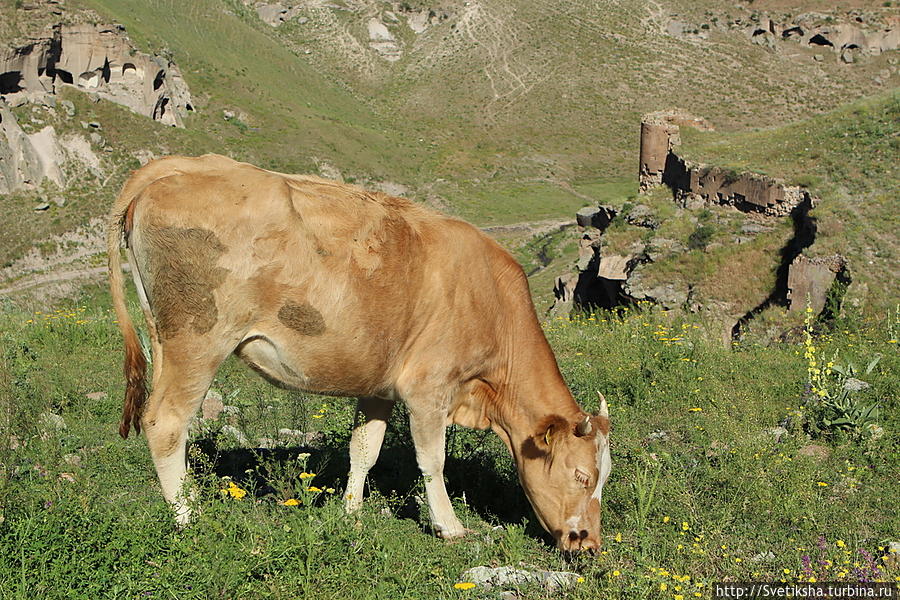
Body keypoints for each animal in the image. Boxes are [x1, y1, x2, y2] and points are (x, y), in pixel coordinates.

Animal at [105, 155, 612, 552]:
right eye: (582, 476)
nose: (587, 542)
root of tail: (177, 166)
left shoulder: (380, 386)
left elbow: (364, 450)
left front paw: (351, 513)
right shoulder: (429, 387)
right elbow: (433, 461)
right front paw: (449, 527)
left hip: (163, 336)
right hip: (199, 338)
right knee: (166, 421)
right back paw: (188, 518)